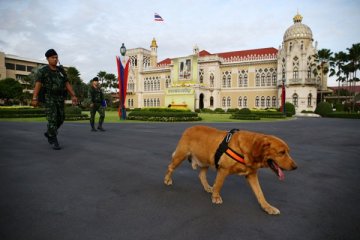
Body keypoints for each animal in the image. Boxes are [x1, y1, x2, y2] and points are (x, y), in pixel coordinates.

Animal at [165, 124, 296, 215]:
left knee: (201, 175)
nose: (296, 167)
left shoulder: (252, 175)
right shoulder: (223, 170)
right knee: (170, 167)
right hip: (180, 156)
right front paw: (216, 197)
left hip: (206, 160)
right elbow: (219, 184)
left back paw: (207, 187)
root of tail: (189, 128)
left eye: (288, 152)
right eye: (281, 152)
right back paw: (167, 180)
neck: (248, 149)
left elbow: (260, 193)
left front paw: (267, 207)